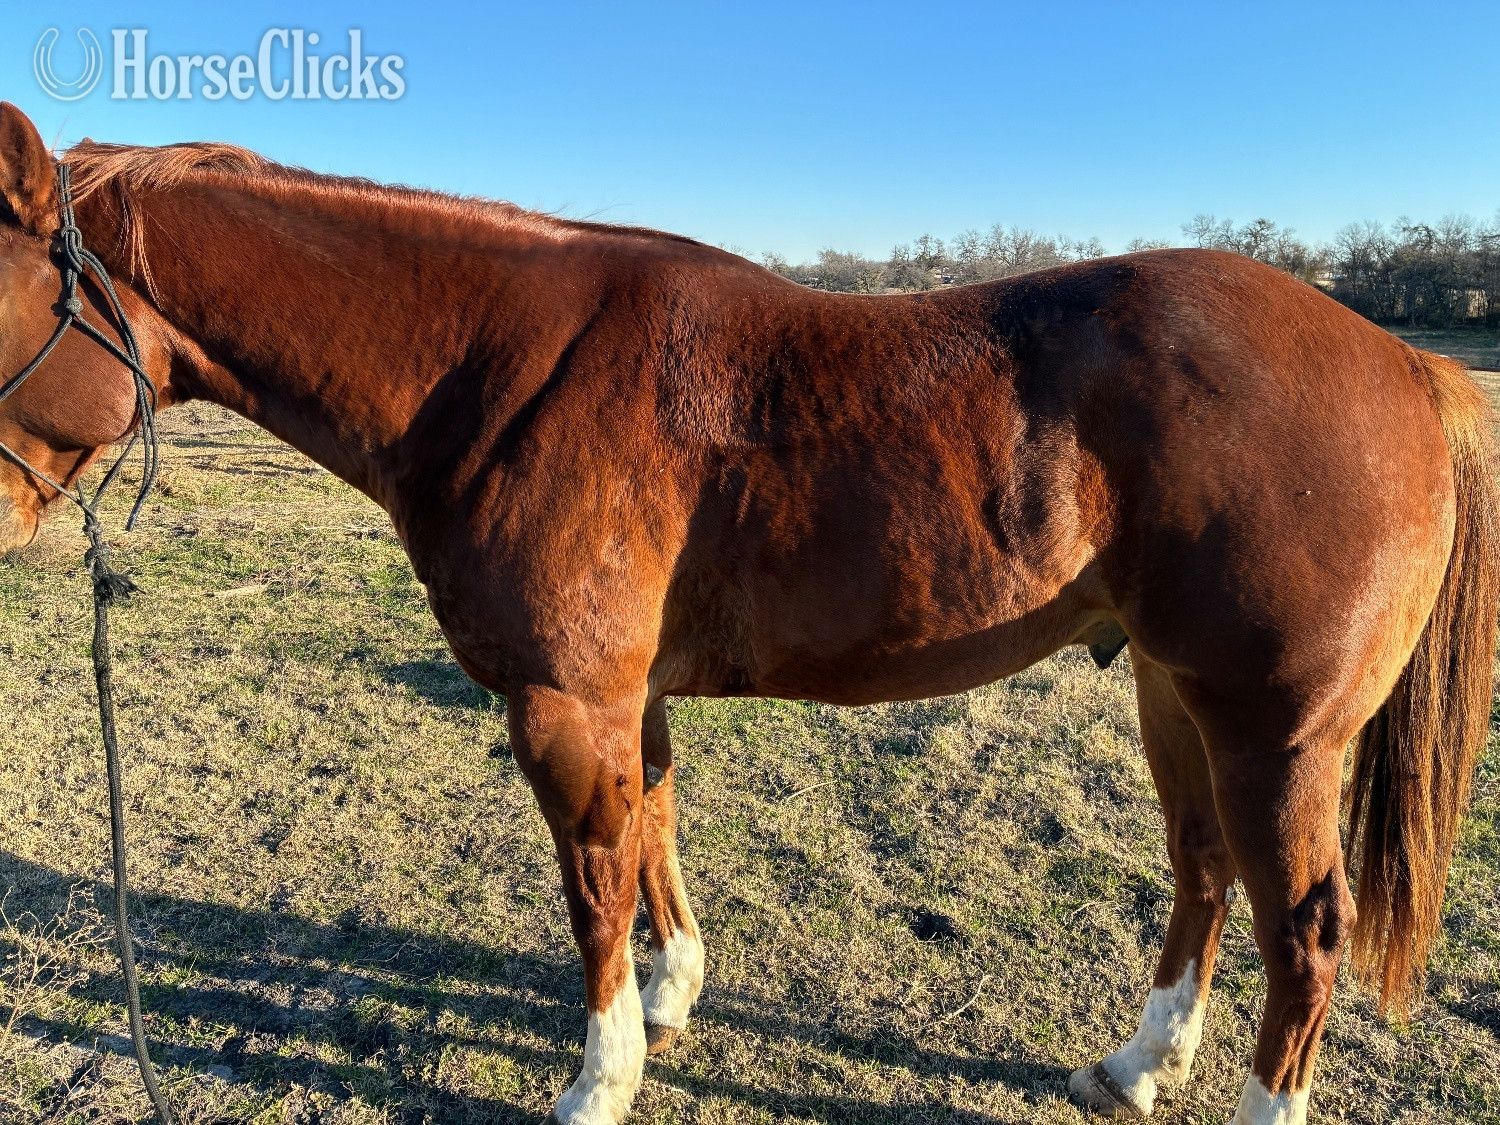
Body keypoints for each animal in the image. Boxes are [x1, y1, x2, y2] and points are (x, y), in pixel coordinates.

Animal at [0, 102, 1494, 1125]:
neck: (501, 366)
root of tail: (1404, 364)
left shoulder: (565, 705)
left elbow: (594, 884)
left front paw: (598, 1076)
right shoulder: (627, 698)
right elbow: (653, 838)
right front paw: (673, 998)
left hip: (1275, 732)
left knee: (1305, 930)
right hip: (1172, 694)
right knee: (1203, 868)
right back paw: (1136, 1063)